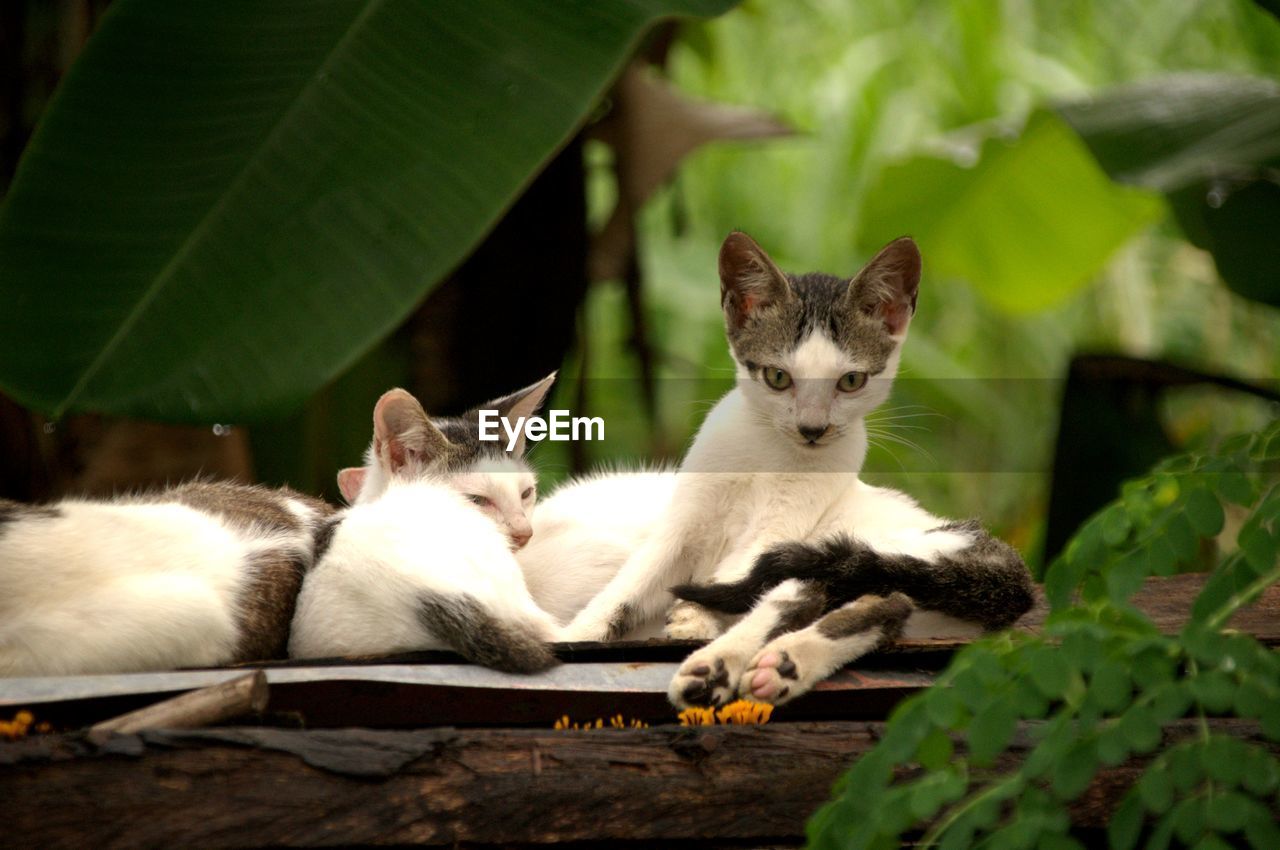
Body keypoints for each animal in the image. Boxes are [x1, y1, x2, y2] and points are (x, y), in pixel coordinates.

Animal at [555, 229, 1034, 706]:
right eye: (778, 377)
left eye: (851, 381)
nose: (813, 428)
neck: (768, 452)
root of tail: (1000, 559)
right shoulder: (683, 522)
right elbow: (627, 588)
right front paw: (578, 634)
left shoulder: (778, 529)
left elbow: (732, 579)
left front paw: (695, 618)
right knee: (884, 603)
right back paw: (777, 665)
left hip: (858, 548)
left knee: (801, 592)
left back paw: (722, 665)